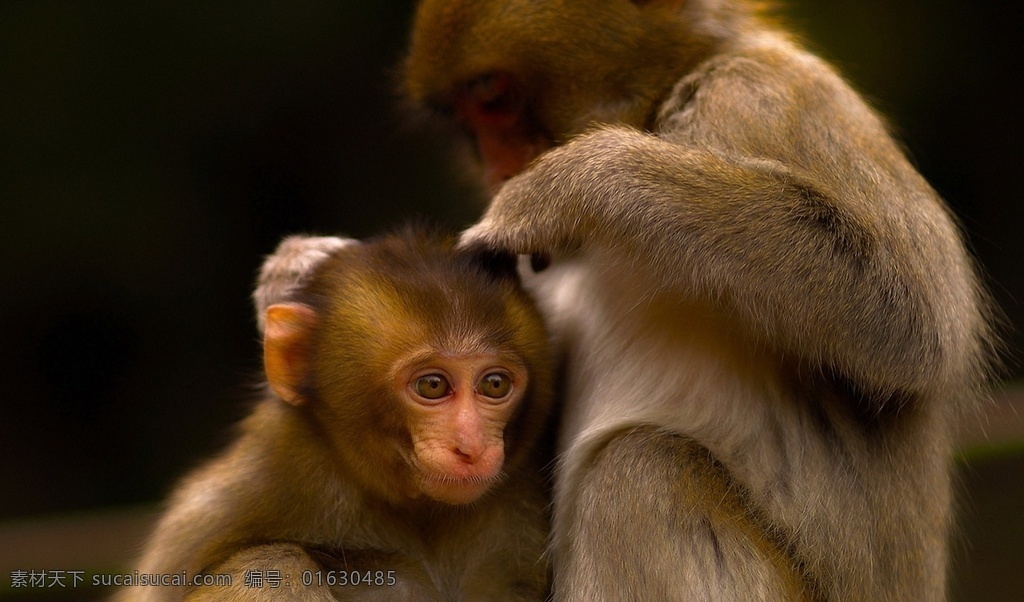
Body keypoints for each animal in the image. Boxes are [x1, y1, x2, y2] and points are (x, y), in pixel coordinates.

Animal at [391, 0, 991, 597]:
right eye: (467, 118)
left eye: (494, 99)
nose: (497, 171)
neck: (670, 97)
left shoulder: (759, 99)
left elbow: (913, 321)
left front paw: (568, 185)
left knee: (640, 472)